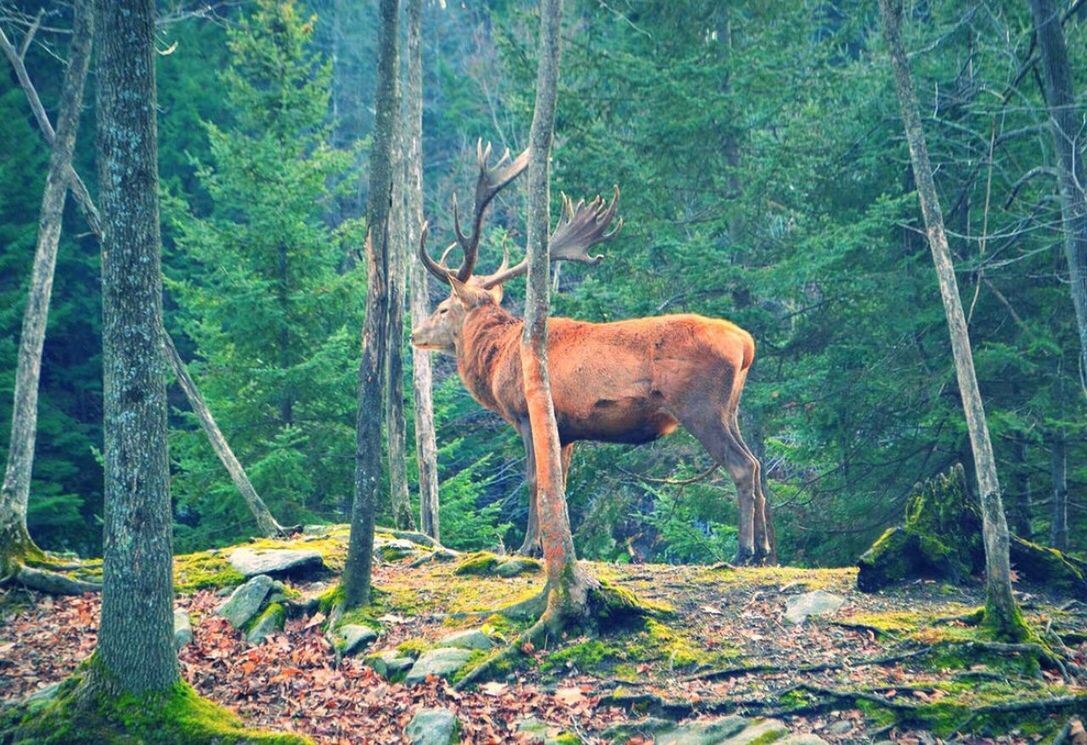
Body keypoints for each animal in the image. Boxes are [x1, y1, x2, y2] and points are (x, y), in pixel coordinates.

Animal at [408, 142, 773, 565]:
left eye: (443, 308)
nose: (414, 334)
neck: (498, 360)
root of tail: (745, 344)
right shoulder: (566, 430)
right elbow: (559, 483)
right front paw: (552, 545)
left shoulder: (527, 413)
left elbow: (535, 480)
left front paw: (529, 547)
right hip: (730, 408)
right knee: (757, 464)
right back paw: (765, 550)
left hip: (700, 405)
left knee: (742, 466)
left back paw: (744, 551)